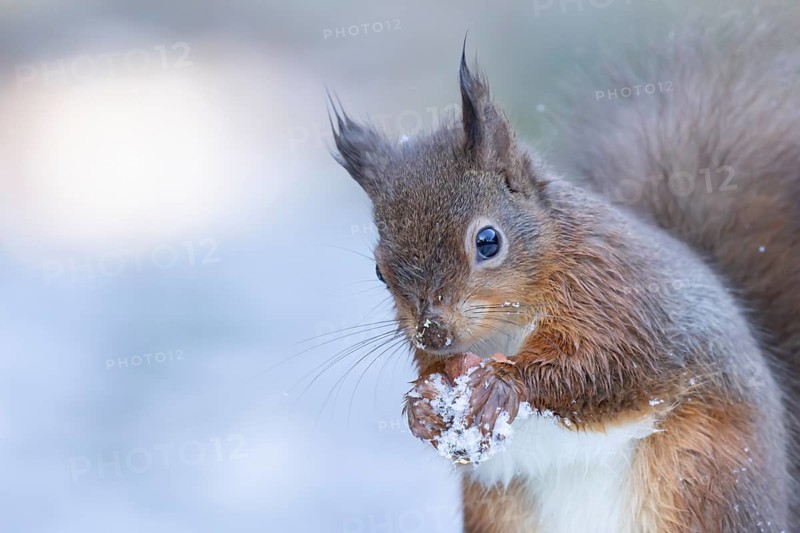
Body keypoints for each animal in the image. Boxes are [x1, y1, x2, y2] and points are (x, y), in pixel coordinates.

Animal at [331, 9, 800, 533]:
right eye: (378, 270)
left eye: (488, 241)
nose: (432, 330)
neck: (507, 323)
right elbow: (433, 373)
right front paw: (423, 408)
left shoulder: (620, 296)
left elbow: (604, 367)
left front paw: (502, 383)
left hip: (696, 476)